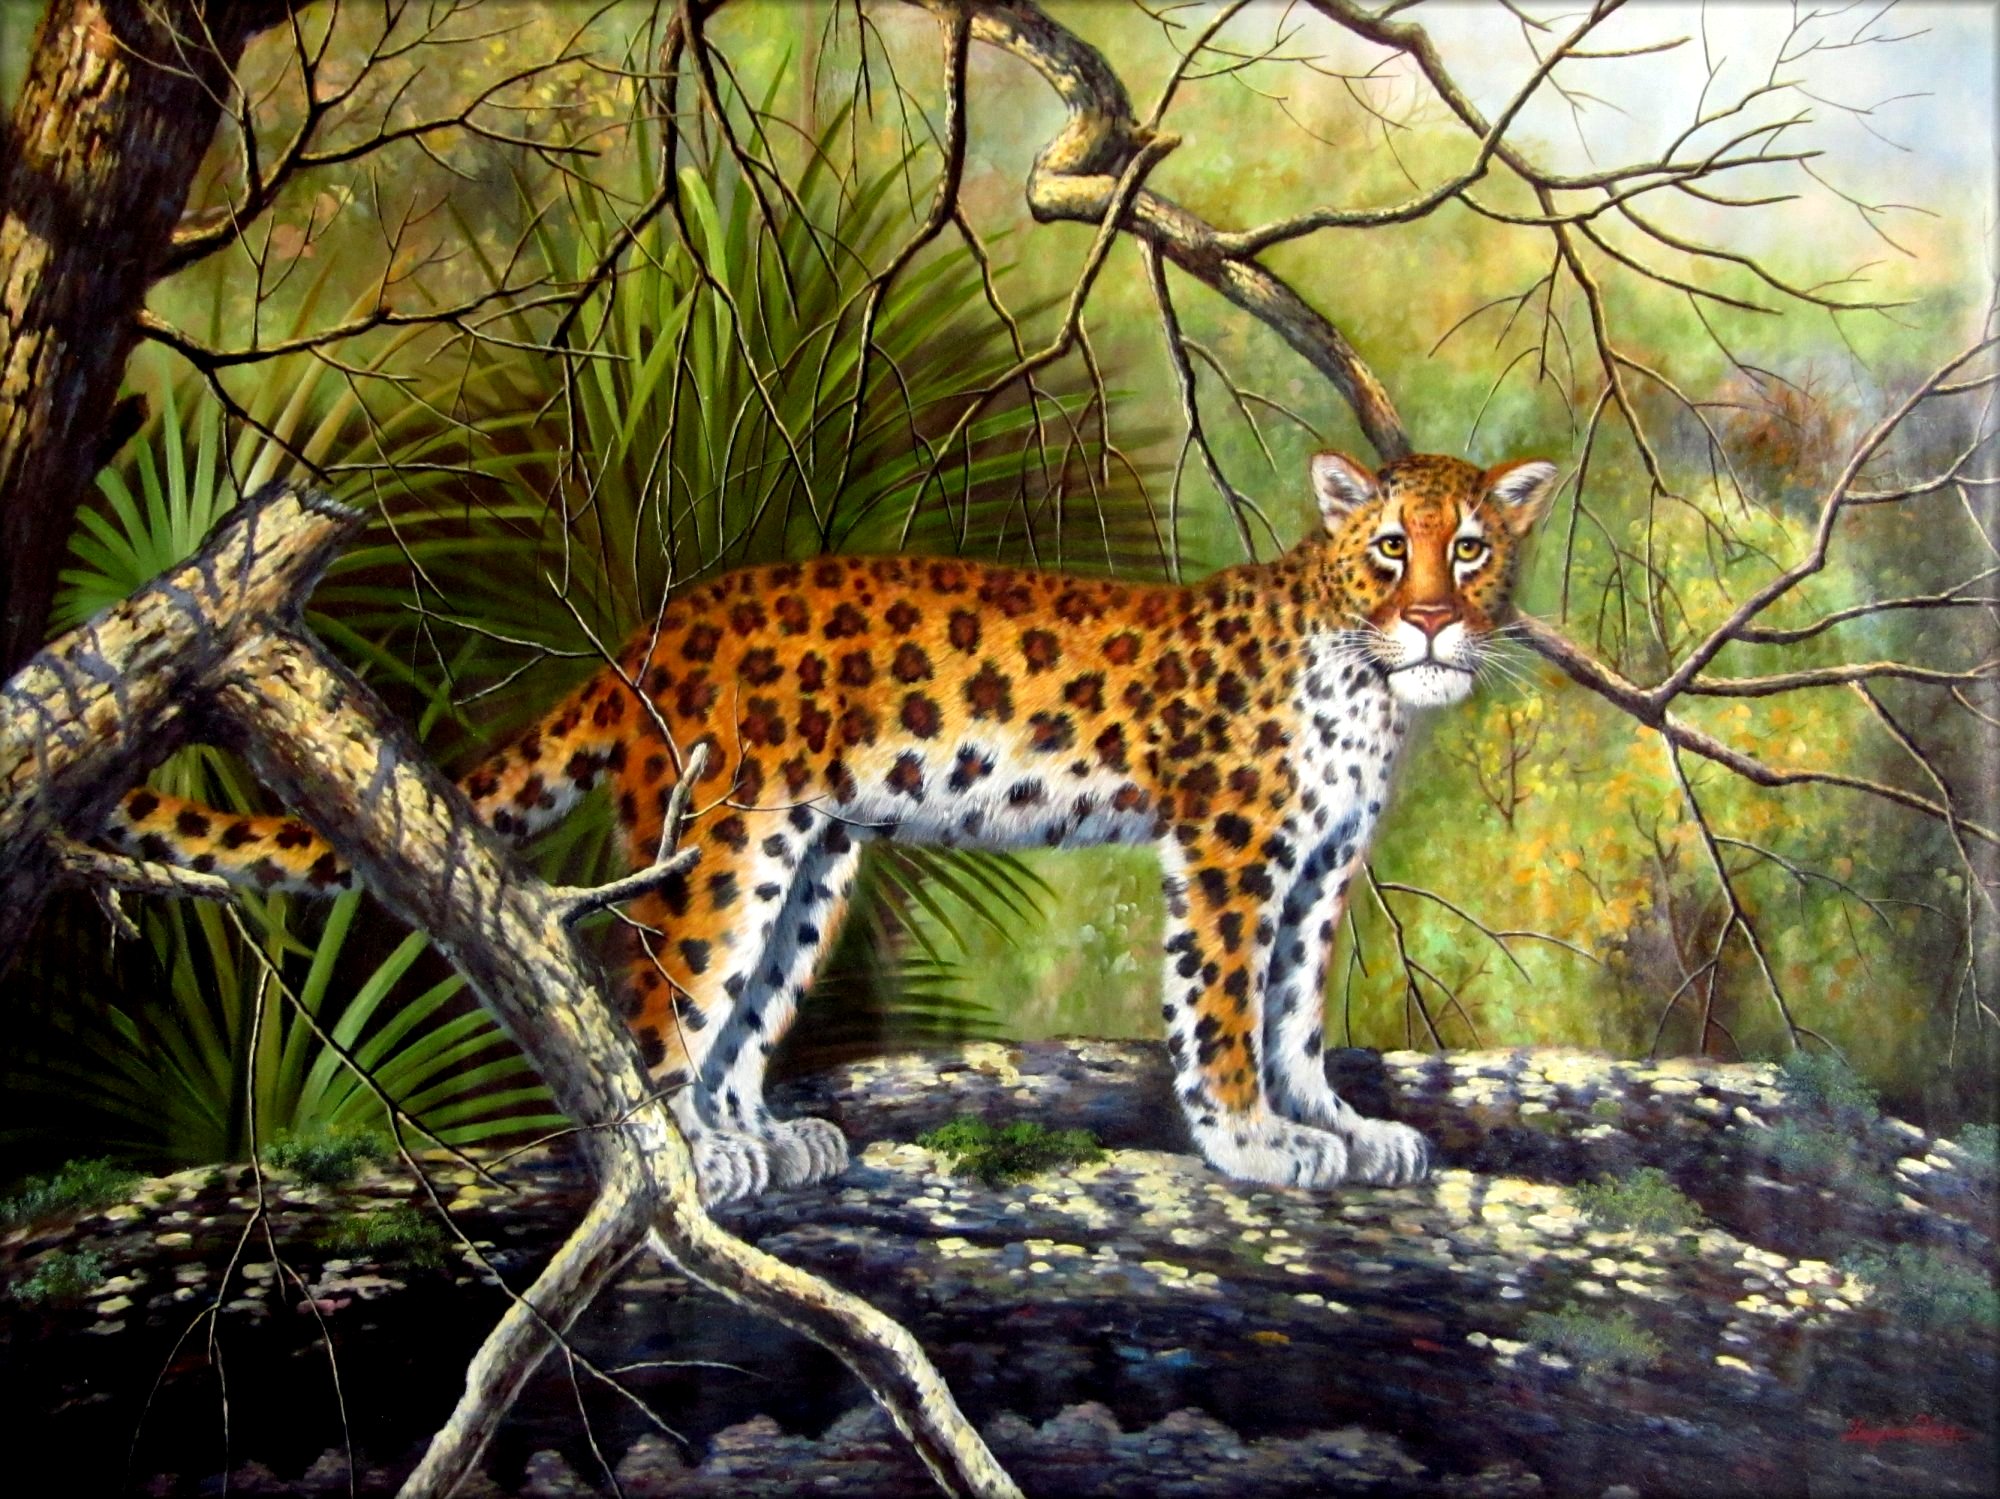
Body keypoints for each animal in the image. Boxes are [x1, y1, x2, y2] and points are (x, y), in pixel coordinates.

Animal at [98, 449, 1557, 1202]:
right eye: (1388, 548)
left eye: (1472, 547)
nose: (1434, 617)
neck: (1374, 698)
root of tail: (658, 627)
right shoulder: (1230, 852)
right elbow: (1222, 1013)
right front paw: (1256, 1143)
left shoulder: (1320, 869)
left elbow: (1296, 1010)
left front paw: (1346, 1126)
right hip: (719, 841)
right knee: (654, 1006)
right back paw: (691, 1158)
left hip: (809, 860)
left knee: (735, 1016)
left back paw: (763, 1134)